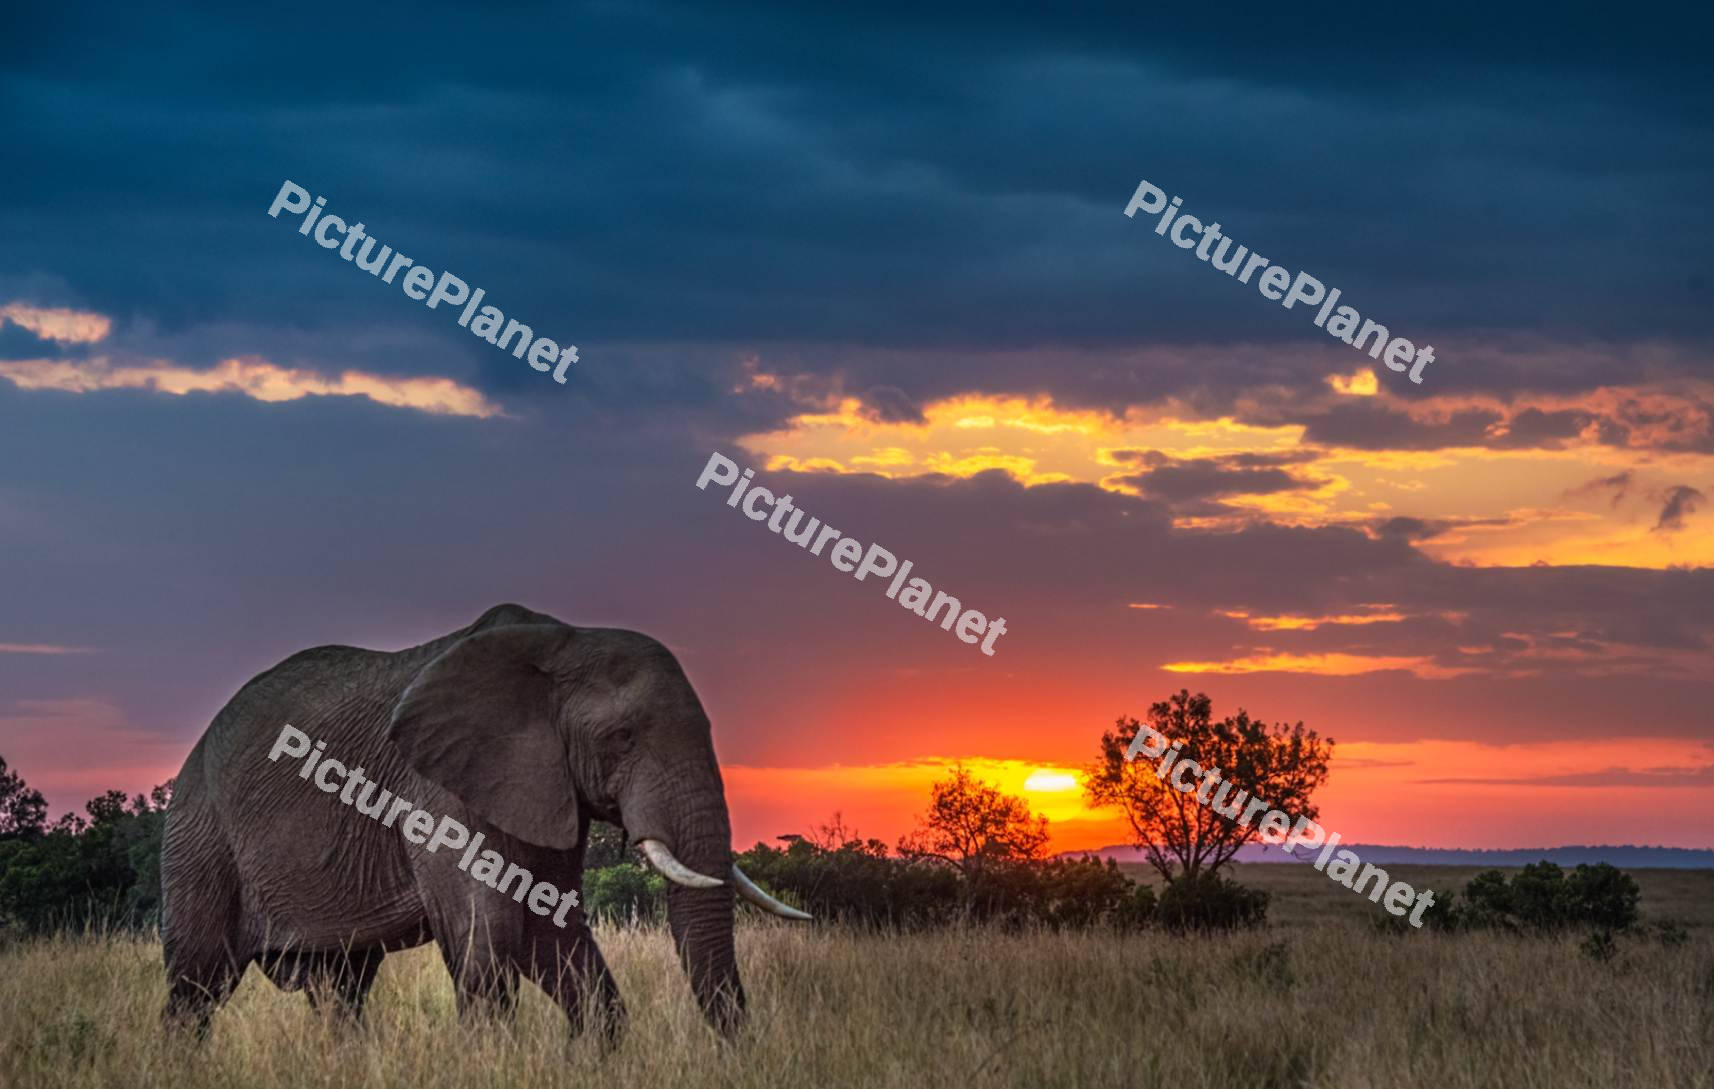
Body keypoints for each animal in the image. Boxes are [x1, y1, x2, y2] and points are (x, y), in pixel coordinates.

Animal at [159, 603, 808, 1042]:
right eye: (622, 738)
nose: (739, 1052)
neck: (561, 645)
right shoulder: (437, 786)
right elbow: (492, 932)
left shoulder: (542, 784)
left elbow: (551, 930)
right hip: (199, 833)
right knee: (196, 984)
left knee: (340, 987)